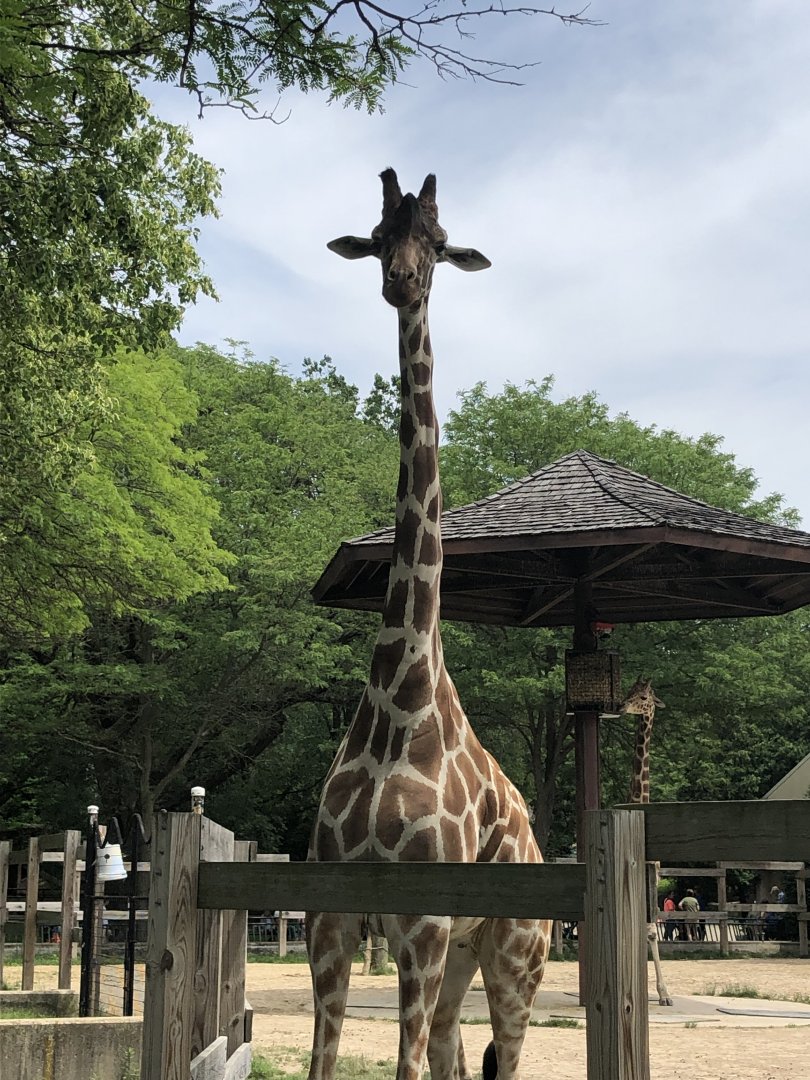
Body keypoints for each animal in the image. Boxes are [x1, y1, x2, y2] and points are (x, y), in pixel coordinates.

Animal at [306, 169, 551, 1080]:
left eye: (440, 244)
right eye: (379, 235)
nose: (402, 282)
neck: (397, 702)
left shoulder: (421, 922)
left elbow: (404, 1067)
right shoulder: (330, 918)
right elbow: (329, 1063)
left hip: (517, 956)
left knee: (502, 1056)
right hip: (468, 956)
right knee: (451, 1047)